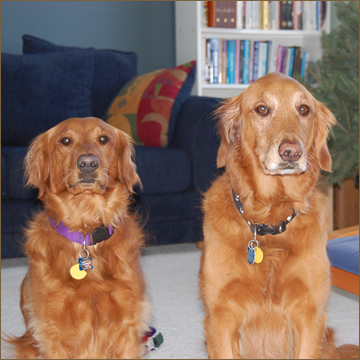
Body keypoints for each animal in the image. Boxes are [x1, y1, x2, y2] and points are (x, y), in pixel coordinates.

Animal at [4, 117, 150, 358]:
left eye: (103, 139)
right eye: (65, 141)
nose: (88, 163)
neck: (85, 232)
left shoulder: (127, 324)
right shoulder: (53, 330)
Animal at [200, 73, 360, 360]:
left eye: (304, 109)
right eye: (262, 109)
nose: (292, 152)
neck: (269, 220)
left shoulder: (310, 313)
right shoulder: (220, 314)